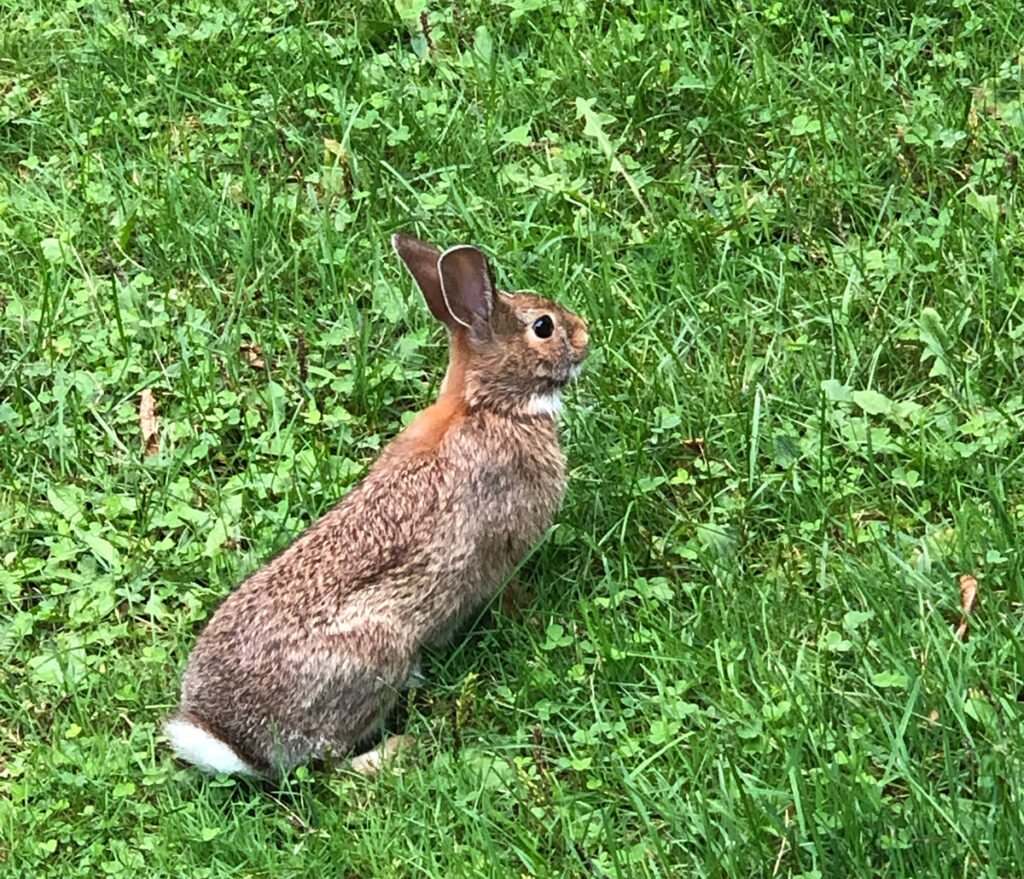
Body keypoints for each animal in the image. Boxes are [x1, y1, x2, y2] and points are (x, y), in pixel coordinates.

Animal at [164, 232, 590, 777]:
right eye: (543, 326)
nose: (585, 334)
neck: (487, 405)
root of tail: (237, 744)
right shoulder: (503, 546)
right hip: (380, 652)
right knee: (328, 767)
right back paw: (399, 748)